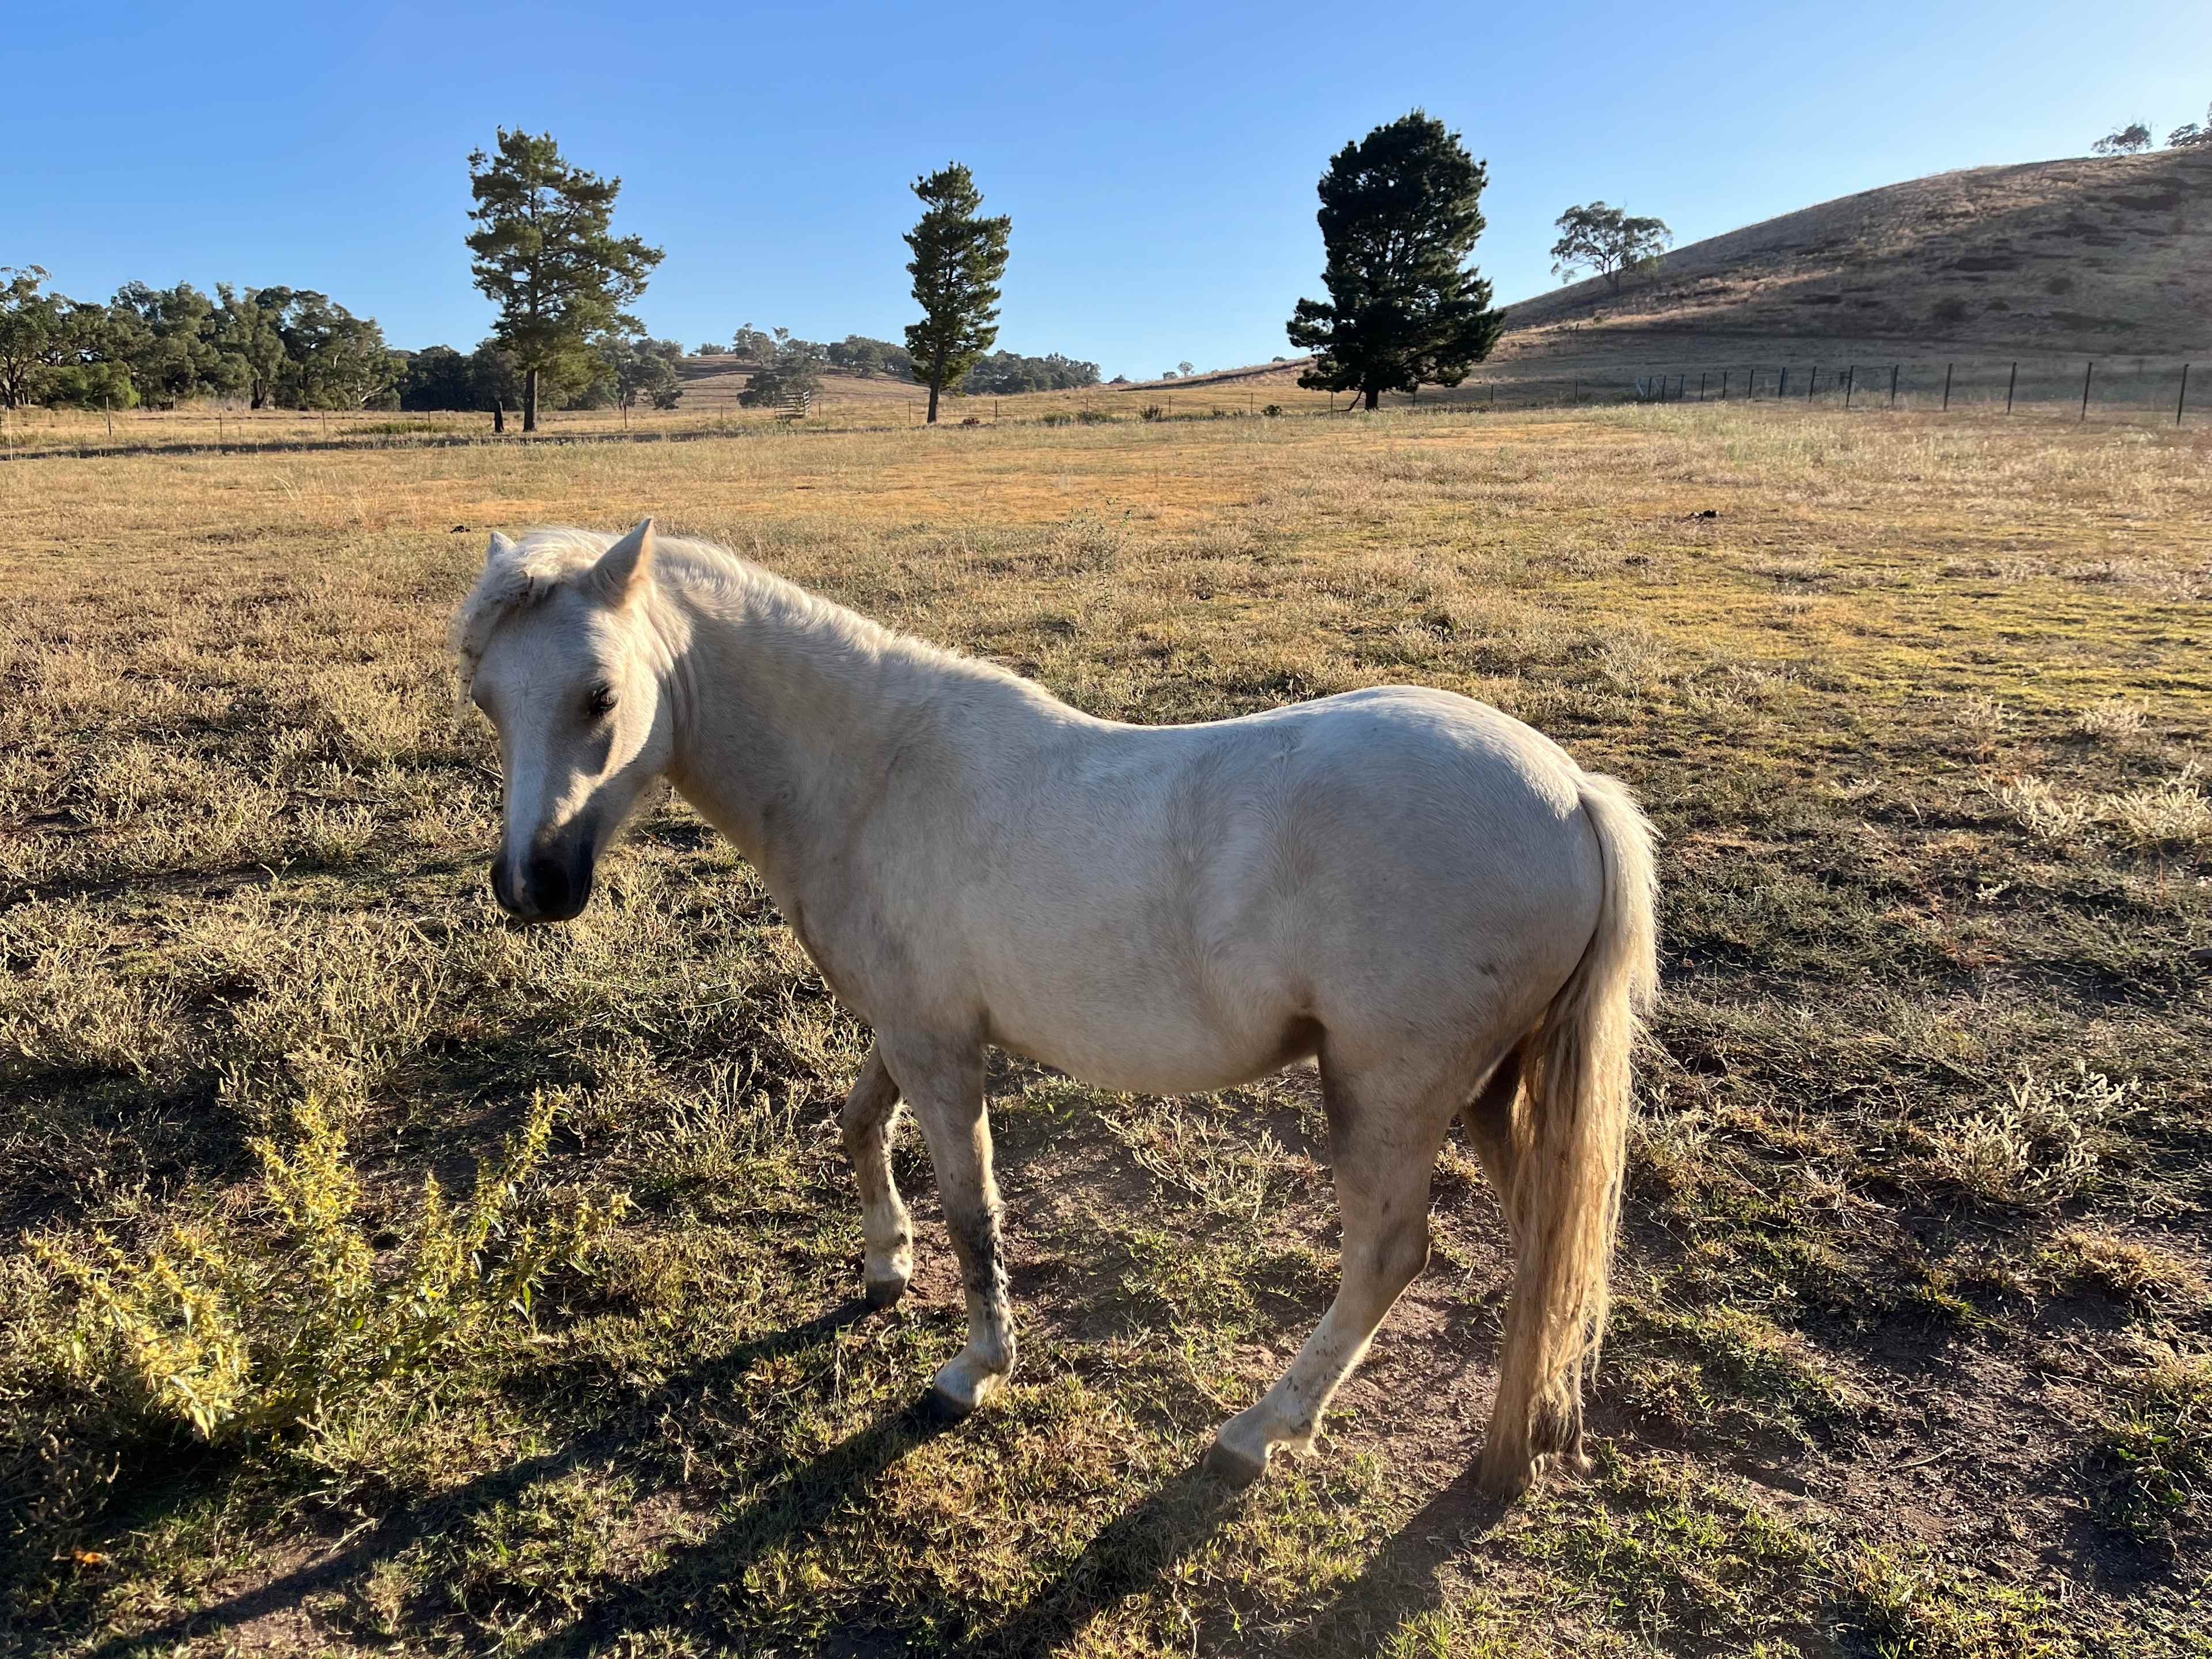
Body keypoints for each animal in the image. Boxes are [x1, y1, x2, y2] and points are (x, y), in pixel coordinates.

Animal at [452, 518, 1657, 1496]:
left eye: (601, 696)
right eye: (485, 696)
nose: (532, 887)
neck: (875, 774)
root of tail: (1572, 792)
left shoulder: (941, 1050)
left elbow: (974, 1207)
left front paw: (974, 1369)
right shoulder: (912, 1028)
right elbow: (858, 1125)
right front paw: (884, 1266)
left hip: (1388, 1092)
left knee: (1391, 1255)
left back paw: (1261, 1430)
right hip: (1490, 1093)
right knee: (1551, 1240)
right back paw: (1528, 1435)